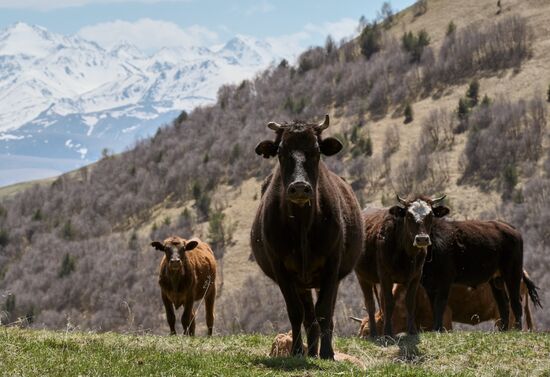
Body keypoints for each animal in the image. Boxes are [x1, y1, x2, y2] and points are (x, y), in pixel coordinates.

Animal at [251, 114, 364, 358]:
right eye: (281, 151)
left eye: (316, 150)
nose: (300, 187)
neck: (302, 225)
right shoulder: (281, 268)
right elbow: (295, 312)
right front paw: (296, 351)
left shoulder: (332, 266)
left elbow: (324, 311)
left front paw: (328, 353)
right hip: (302, 282)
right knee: (308, 318)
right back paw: (310, 351)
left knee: (323, 315)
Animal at [356, 195, 450, 336]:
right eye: (409, 216)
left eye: (431, 215)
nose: (422, 239)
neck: (406, 254)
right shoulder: (385, 276)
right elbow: (389, 303)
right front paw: (388, 332)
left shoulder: (416, 276)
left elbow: (409, 302)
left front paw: (412, 330)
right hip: (362, 277)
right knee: (370, 304)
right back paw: (373, 333)